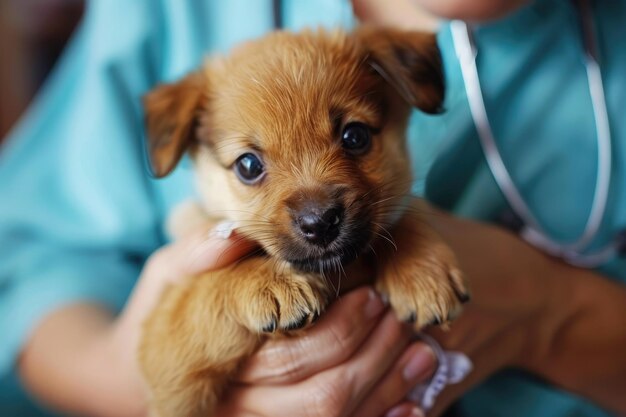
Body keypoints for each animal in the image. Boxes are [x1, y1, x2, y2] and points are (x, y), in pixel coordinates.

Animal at [139, 26, 466, 416]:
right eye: (248, 165)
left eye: (354, 136)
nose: (320, 223)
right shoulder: (167, 347)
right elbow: (207, 284)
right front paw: (267, 281)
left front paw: (422, 269)